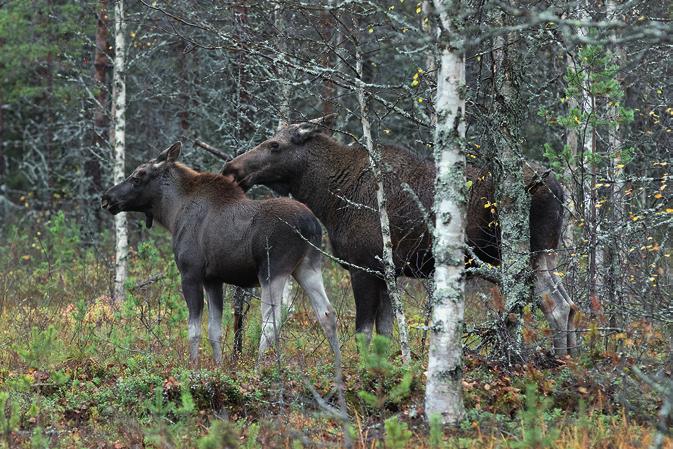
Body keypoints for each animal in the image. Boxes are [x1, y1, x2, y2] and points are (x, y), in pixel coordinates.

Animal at [101, 142, 342, 370]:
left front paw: (194, 367)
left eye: (138, 175)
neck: (172, 214)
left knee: (270, 321)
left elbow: (194, 329)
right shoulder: (213, 279)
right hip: (308, 266)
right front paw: (218, 366)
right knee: (327, 313)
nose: (106, 198)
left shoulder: (190, 273)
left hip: (273, 269)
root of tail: (311, 225)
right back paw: (338, 366)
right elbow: (214, 329)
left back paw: (258, 368)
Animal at [220, 118, 576, 354]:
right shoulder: (387, 271)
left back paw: (558, 361)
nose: (231, 169)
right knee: (570, 303)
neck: (329, 199)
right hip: (547, 253)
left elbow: (363, 331)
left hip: (530, 254)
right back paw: (574, 358)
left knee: (556, 305)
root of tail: (560, 190)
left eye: (274, 145)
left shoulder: (365, 267)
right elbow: (386, 331)